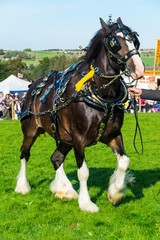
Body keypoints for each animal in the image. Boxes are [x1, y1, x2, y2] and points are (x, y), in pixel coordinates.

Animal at [15, 17, 144, 212]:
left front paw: (115, 193)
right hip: (31, 130)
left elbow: (124, 162)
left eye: (135, 41)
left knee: (56, 158)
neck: (101, 94)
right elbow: (83, 172)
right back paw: (23, 186)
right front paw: (86, 203)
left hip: (65, 138)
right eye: (114, 43)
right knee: (25, 154)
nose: (139, 69)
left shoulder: (112, 134)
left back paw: (65, 190)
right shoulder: (79, 138)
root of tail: (33, 86)